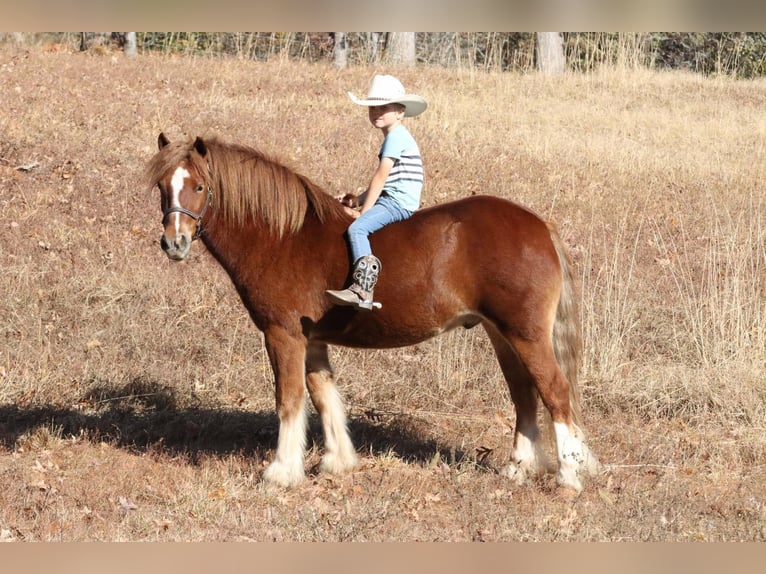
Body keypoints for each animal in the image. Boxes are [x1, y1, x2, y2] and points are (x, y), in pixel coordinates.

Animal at [144, 133, 600, 492]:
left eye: (199, 186)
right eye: (163, 186)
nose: (174, 243)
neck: (282, 236)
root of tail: (539, 226)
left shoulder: (282, 333)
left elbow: (289, 400)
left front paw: (281, 472)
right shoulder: (312, 339)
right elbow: (323, 394)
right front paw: (337, 462)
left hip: (525, 334)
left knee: (555, 392)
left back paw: (568, 478)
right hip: (502, 334)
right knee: (524, 395)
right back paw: (517, 469)